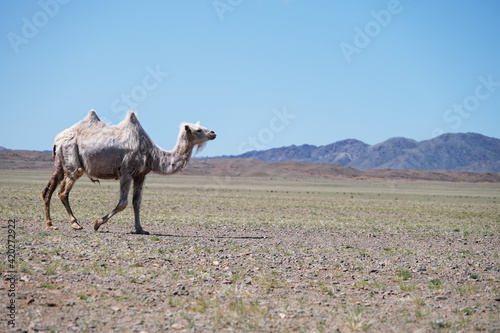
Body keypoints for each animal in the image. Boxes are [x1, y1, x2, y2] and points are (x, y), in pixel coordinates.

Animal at [40, 109, 216, 233]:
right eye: (198, 130)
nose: (213, 132)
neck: (152, 154)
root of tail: (57, 139)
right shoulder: (126, 171)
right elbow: (123, 203)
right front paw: (97, 223)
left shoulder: (140, 175)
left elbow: (136, 203)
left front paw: (140, 229)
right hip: (72, 159)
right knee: (63, 191)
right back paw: (75, 224)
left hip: (60, 162)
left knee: (48, 190)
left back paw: (50, 224)